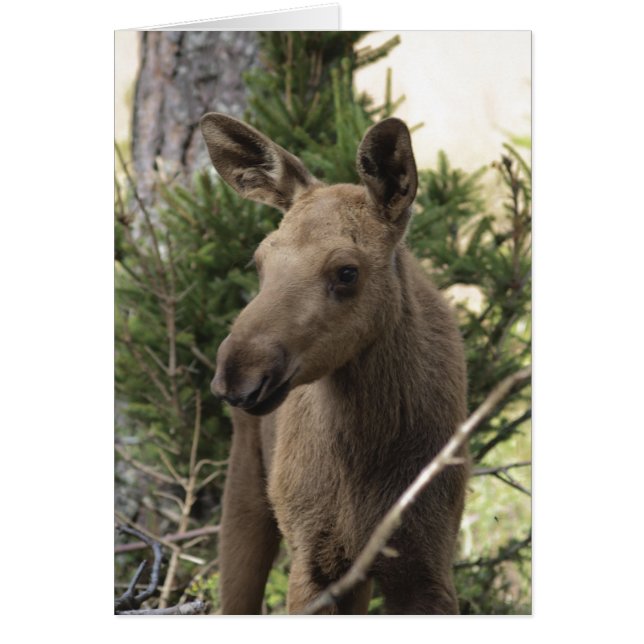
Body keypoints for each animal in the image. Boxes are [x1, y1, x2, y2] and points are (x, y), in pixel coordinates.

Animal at [200, 113, 469, 614]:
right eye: (259, 261)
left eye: (347, 271)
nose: (237, 375)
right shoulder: (314, 558)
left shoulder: (427, 562)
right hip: (247, 491)